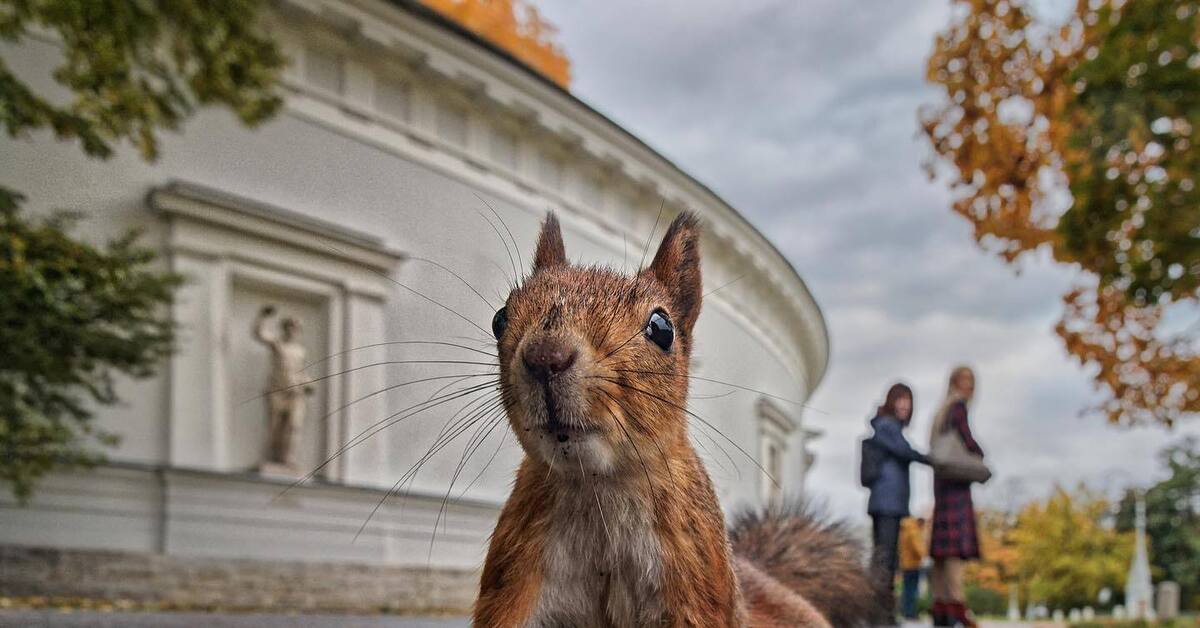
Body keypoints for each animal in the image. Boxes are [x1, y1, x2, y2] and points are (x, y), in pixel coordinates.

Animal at [472, 212, 878, 628]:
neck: (597, 487)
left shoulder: (694, 583)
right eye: (500, 319)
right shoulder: (518, 579)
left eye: (662, 328)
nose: (545, 356)